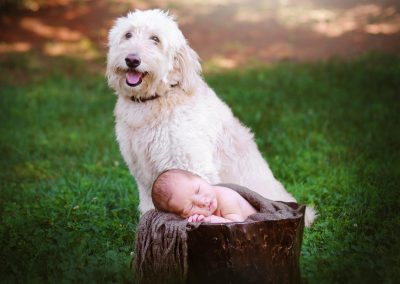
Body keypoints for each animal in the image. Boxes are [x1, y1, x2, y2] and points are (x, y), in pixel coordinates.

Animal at [106, 9, 316, 226]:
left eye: (155, 39)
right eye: (128, 35)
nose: (132, 60)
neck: (156, 99)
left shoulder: (190, 165)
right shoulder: (143, 174)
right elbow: (149, 207)